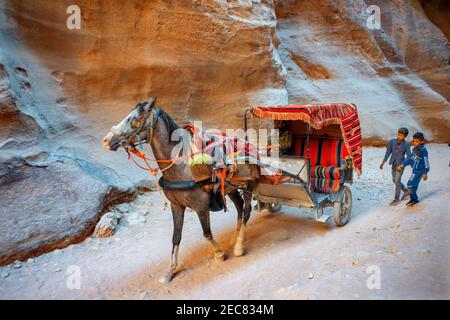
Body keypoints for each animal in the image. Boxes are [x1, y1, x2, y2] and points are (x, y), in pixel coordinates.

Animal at [103, 97, 255, 282]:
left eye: (135, 119)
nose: (106, 140)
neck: (182, 166)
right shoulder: (176, 205)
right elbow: (176, 236)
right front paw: (170, 270)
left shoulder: (201, 206)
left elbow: (207, 233)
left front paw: (219, 253)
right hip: (231, 188)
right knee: (240, 208)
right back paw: (235, 236)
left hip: (248, 185)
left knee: (246, 210)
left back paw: (239, 245)